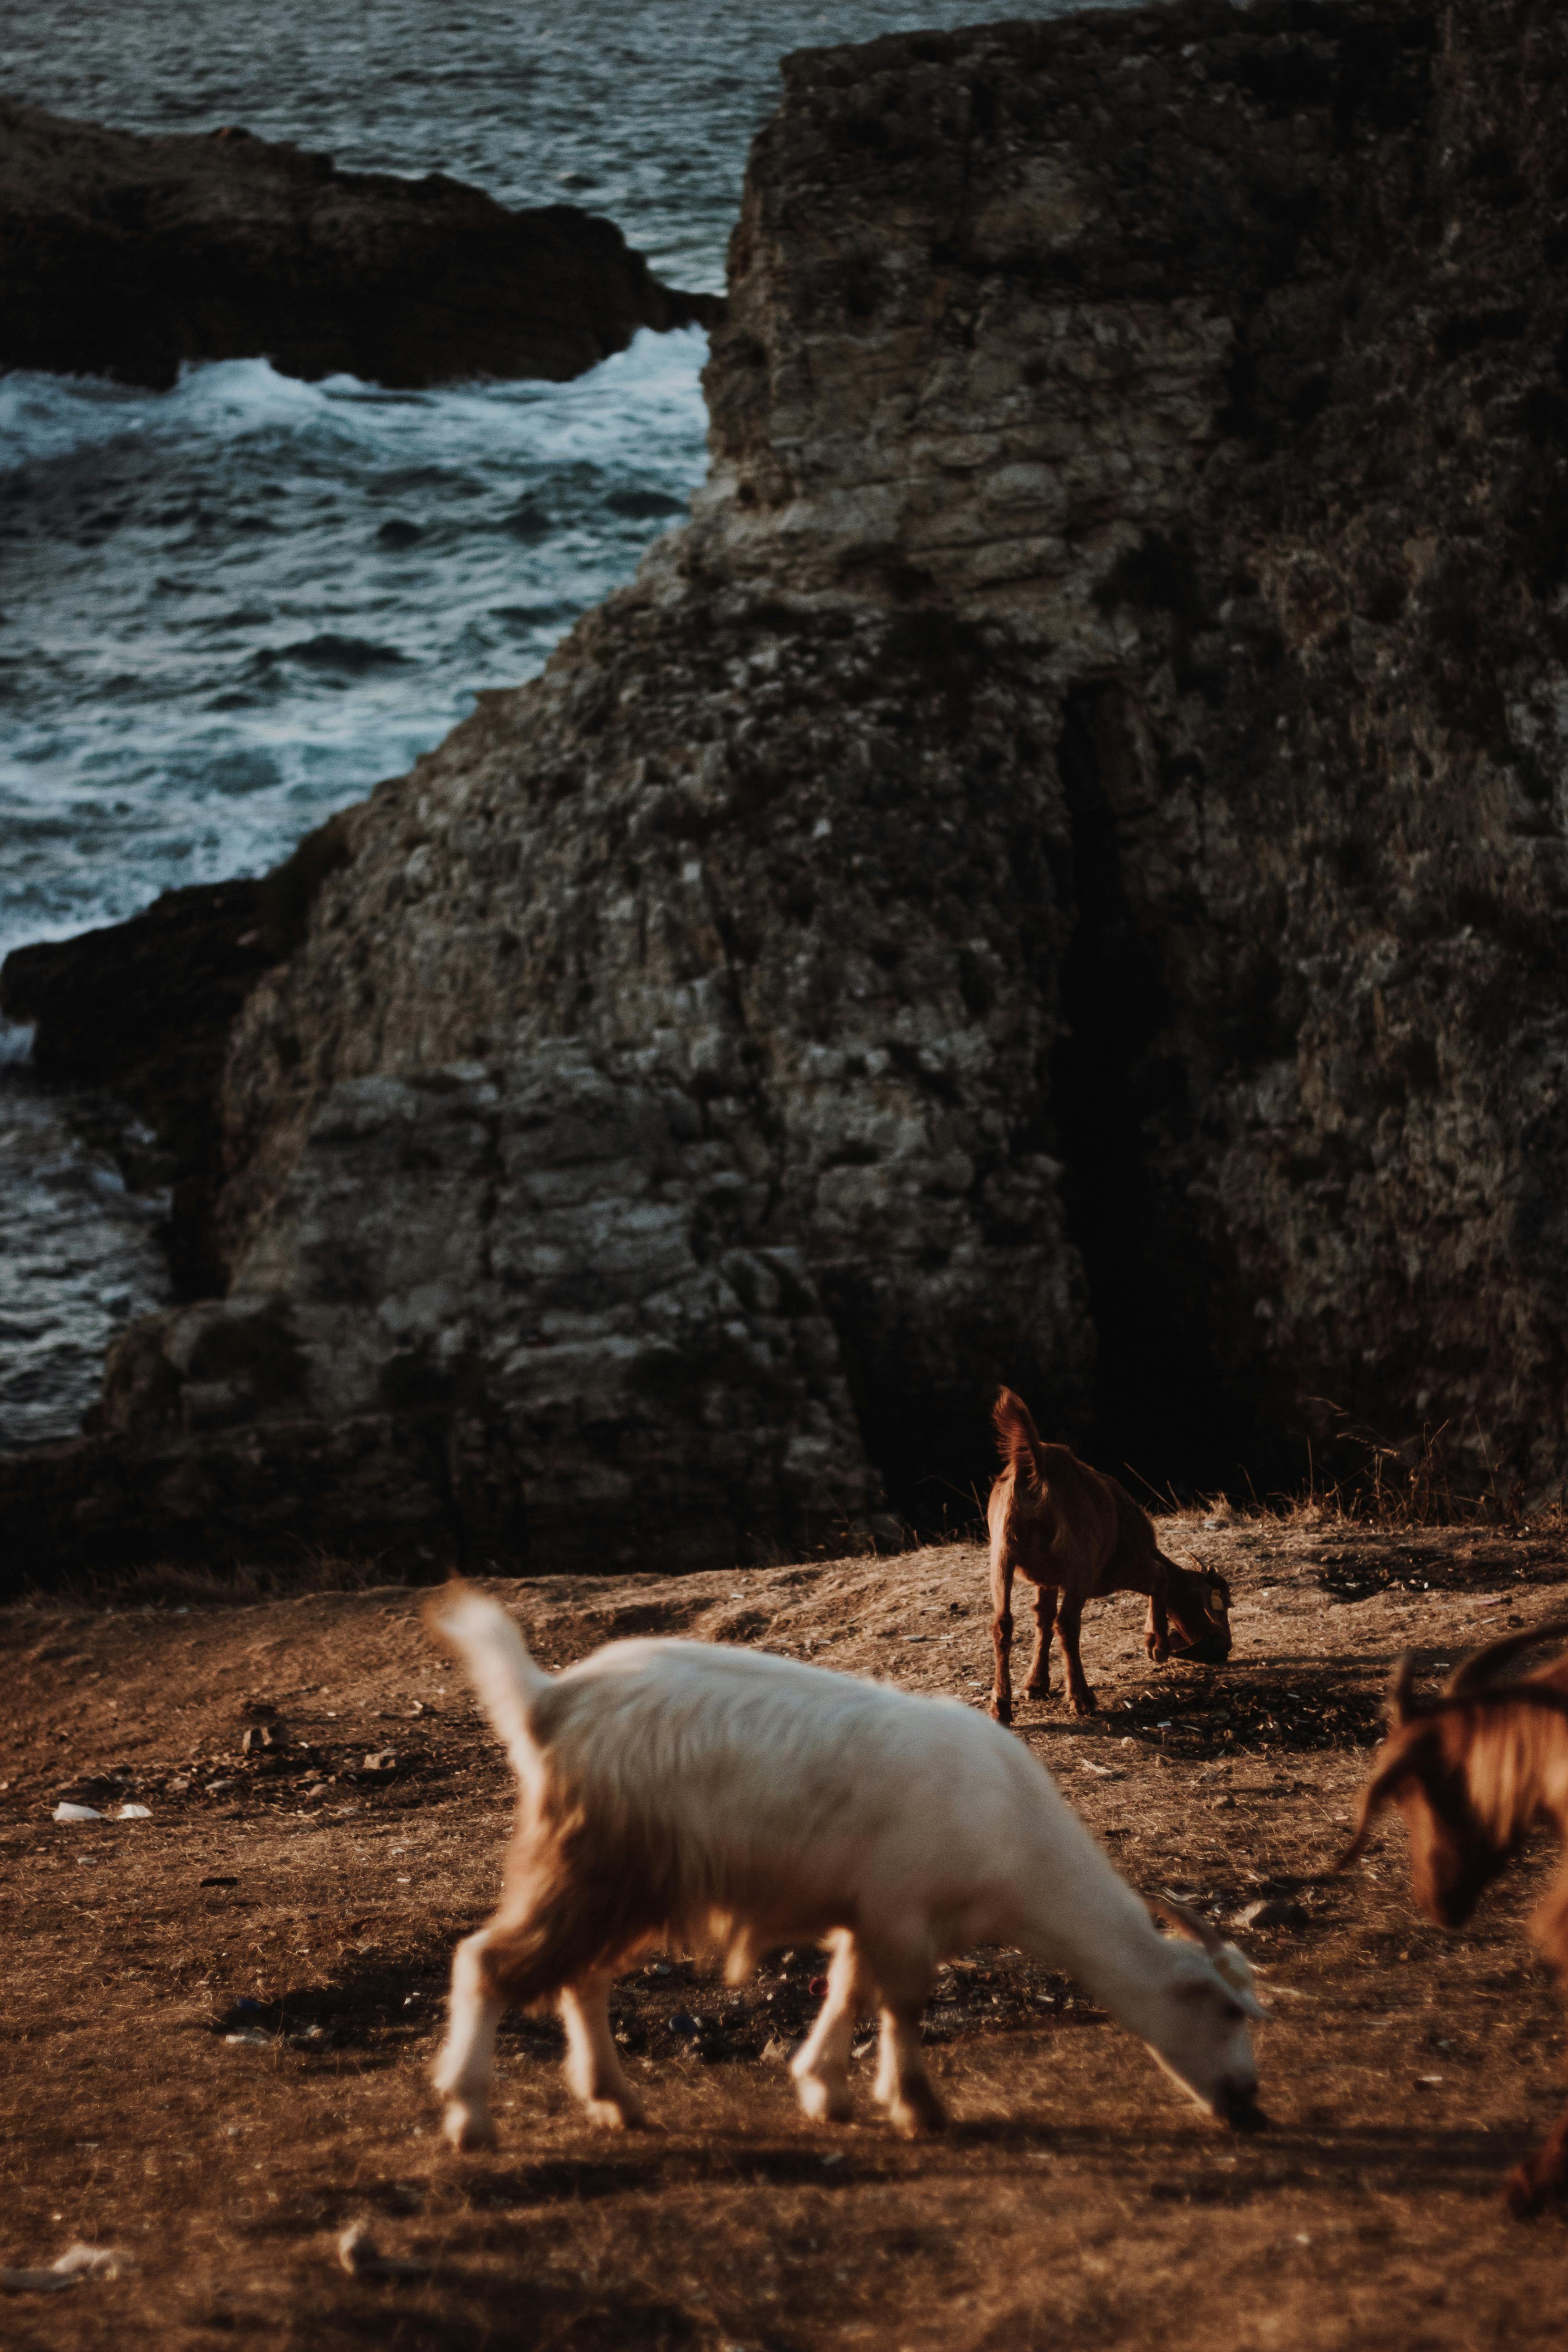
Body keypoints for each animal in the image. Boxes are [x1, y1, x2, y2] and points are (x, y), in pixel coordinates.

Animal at [430, 1580, 1279, 2154]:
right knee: (489, 1962)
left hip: (618, 1881)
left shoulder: (870, 1913)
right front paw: (916, 2106)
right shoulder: (901, 1913)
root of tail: (549, 1700)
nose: (1251, 2106)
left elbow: (847, 1990)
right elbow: (901, 2006)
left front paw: (823, 2087)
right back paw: (471, 2116)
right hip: (592, 1868)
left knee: (583, 1977)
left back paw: (617, 2102)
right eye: (1228, 2011)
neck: (1019, 1852)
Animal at [987, 1373, 1232, 1731]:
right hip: (1079, 1564)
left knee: (1003, 1623)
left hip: (1002, 1555)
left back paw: (1001, 1707)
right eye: (1223, 1605)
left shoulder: (1046, 1578)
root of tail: (1036, 1469)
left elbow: (1042, 1617)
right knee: (1068, 1623)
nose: (1226, 1648)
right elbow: (1160, 1580)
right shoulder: (1129, 1566)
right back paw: (1082, 1698)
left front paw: (1036, 1684)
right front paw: (1157, 1645)